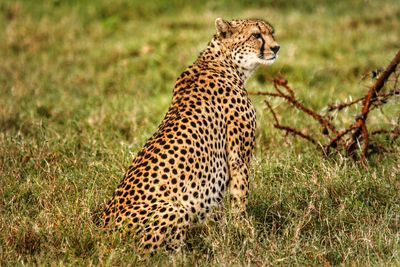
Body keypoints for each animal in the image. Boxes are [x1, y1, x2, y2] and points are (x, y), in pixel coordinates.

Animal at [101, 17, 280, 253]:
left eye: (272, 33)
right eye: (256, 35)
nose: (276, 48)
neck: (223, 62)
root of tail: (102, 232)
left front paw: (222, 235)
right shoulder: (238, 157)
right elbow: (240, 197)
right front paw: (244, 233)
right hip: (175, 209)